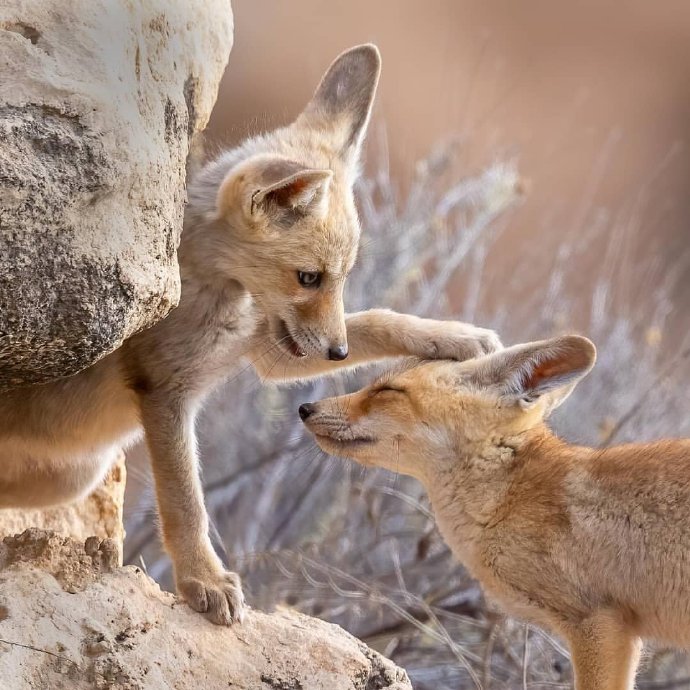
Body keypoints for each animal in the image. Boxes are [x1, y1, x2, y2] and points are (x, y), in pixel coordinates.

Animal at [0, 43, 500, 624]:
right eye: (309, 277)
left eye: (343, 276)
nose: (337, 352)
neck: (225, 304)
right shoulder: (167, 394)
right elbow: (187, 504)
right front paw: (204, 579)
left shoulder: (268, 352)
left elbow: (380, 319)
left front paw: (458, 338)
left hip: (72, 475)